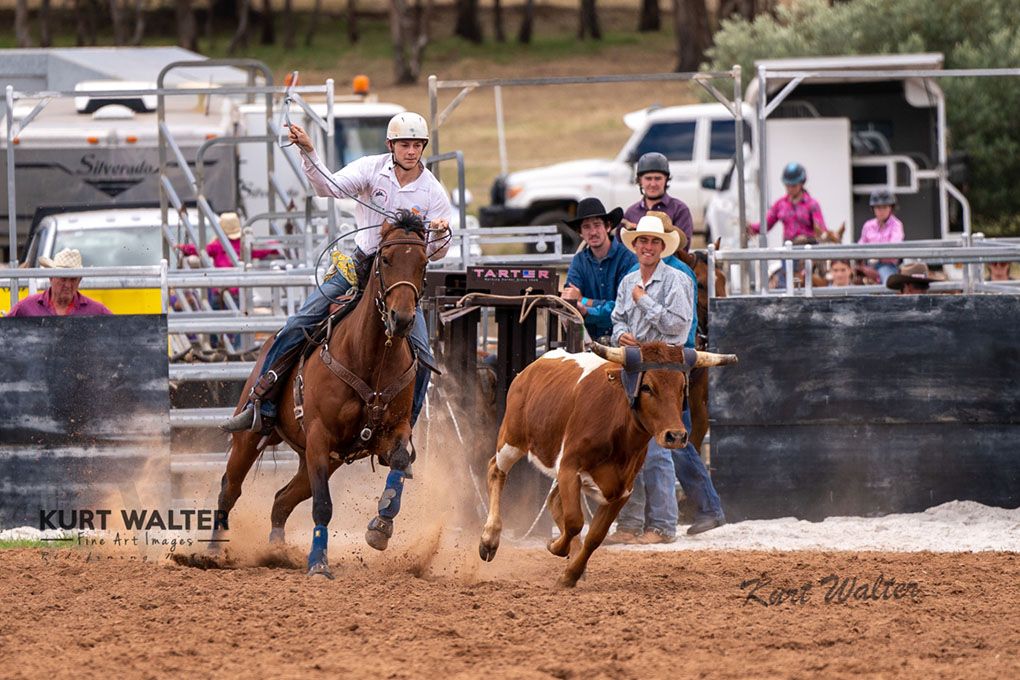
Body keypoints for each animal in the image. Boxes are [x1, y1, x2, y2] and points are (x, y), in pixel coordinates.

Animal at [216, 213, 430, 579]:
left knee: (281, 499)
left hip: (323, 460)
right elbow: (324, 506)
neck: (370, 357)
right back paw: (212, 552)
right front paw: (318, 563)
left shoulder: (396, 429)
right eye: (386, 259)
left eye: (423, 263)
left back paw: (277, 552)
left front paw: (381, 525)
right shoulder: (319, 435)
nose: (401, 320)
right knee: (229, 489)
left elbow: (401, 461)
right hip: (253, 436)